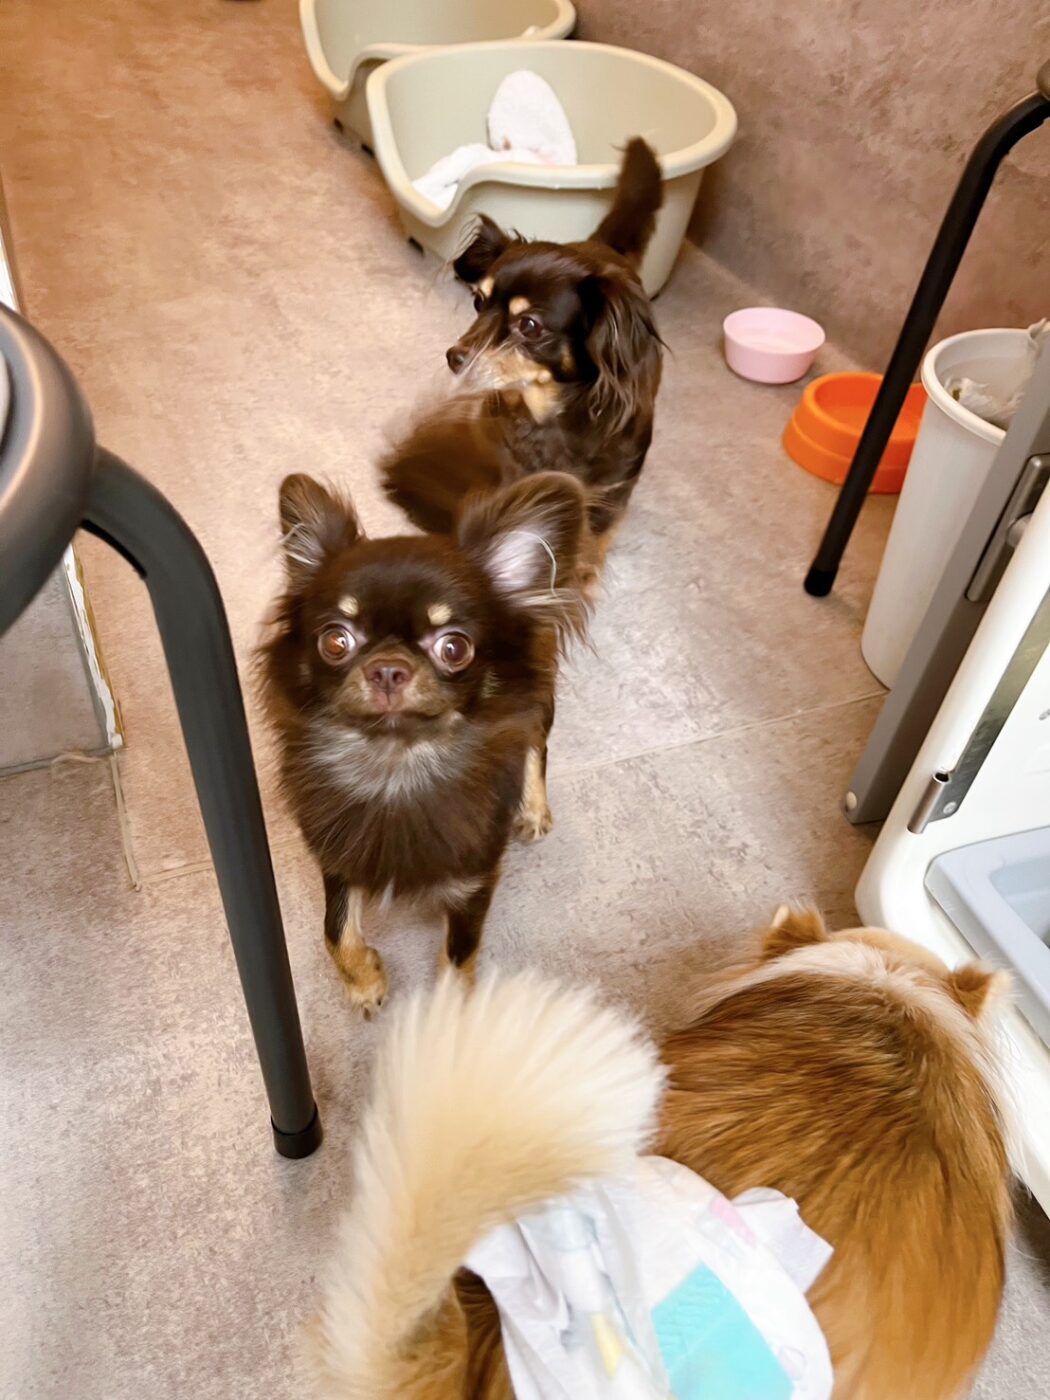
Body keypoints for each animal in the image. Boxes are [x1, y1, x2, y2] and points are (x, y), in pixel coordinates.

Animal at [259, 470, 588, 1014]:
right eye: (335, 640)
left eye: (454, 647)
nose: (388, 667)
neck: (398, 763)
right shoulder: (340, 853)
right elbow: (334, 930)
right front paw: (365, 980)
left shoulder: (475, 879)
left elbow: (460, 951)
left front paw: (451, 1011)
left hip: (540, 699)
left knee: (536, 746)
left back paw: (534, 808)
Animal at [381, 138, 664, 587]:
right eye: (478, 302)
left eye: (528, 325)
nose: (454, 357)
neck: (550, 413)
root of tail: (602, 246)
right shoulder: (508, 465)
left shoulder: (610, 492)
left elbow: (593, 539)